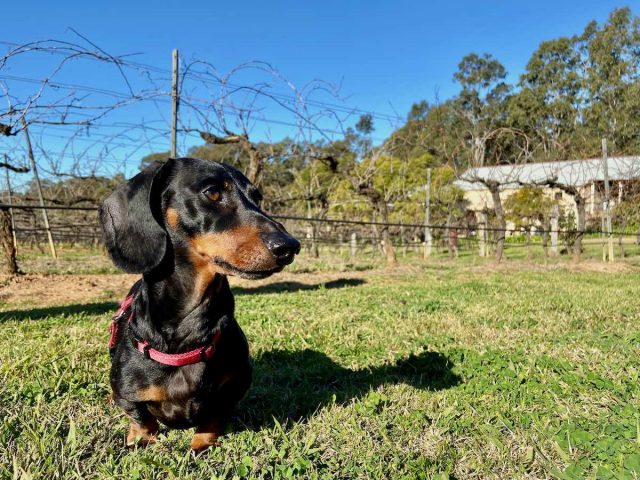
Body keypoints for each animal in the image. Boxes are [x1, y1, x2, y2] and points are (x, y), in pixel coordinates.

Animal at [99, 158, 302, 450]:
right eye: (213, 193)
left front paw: (202, 445)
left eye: (257, 198)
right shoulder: (127, 394)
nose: (290, 246)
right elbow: (141, 418)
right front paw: (141, 439)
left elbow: (213, 418)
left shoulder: (234, 388)